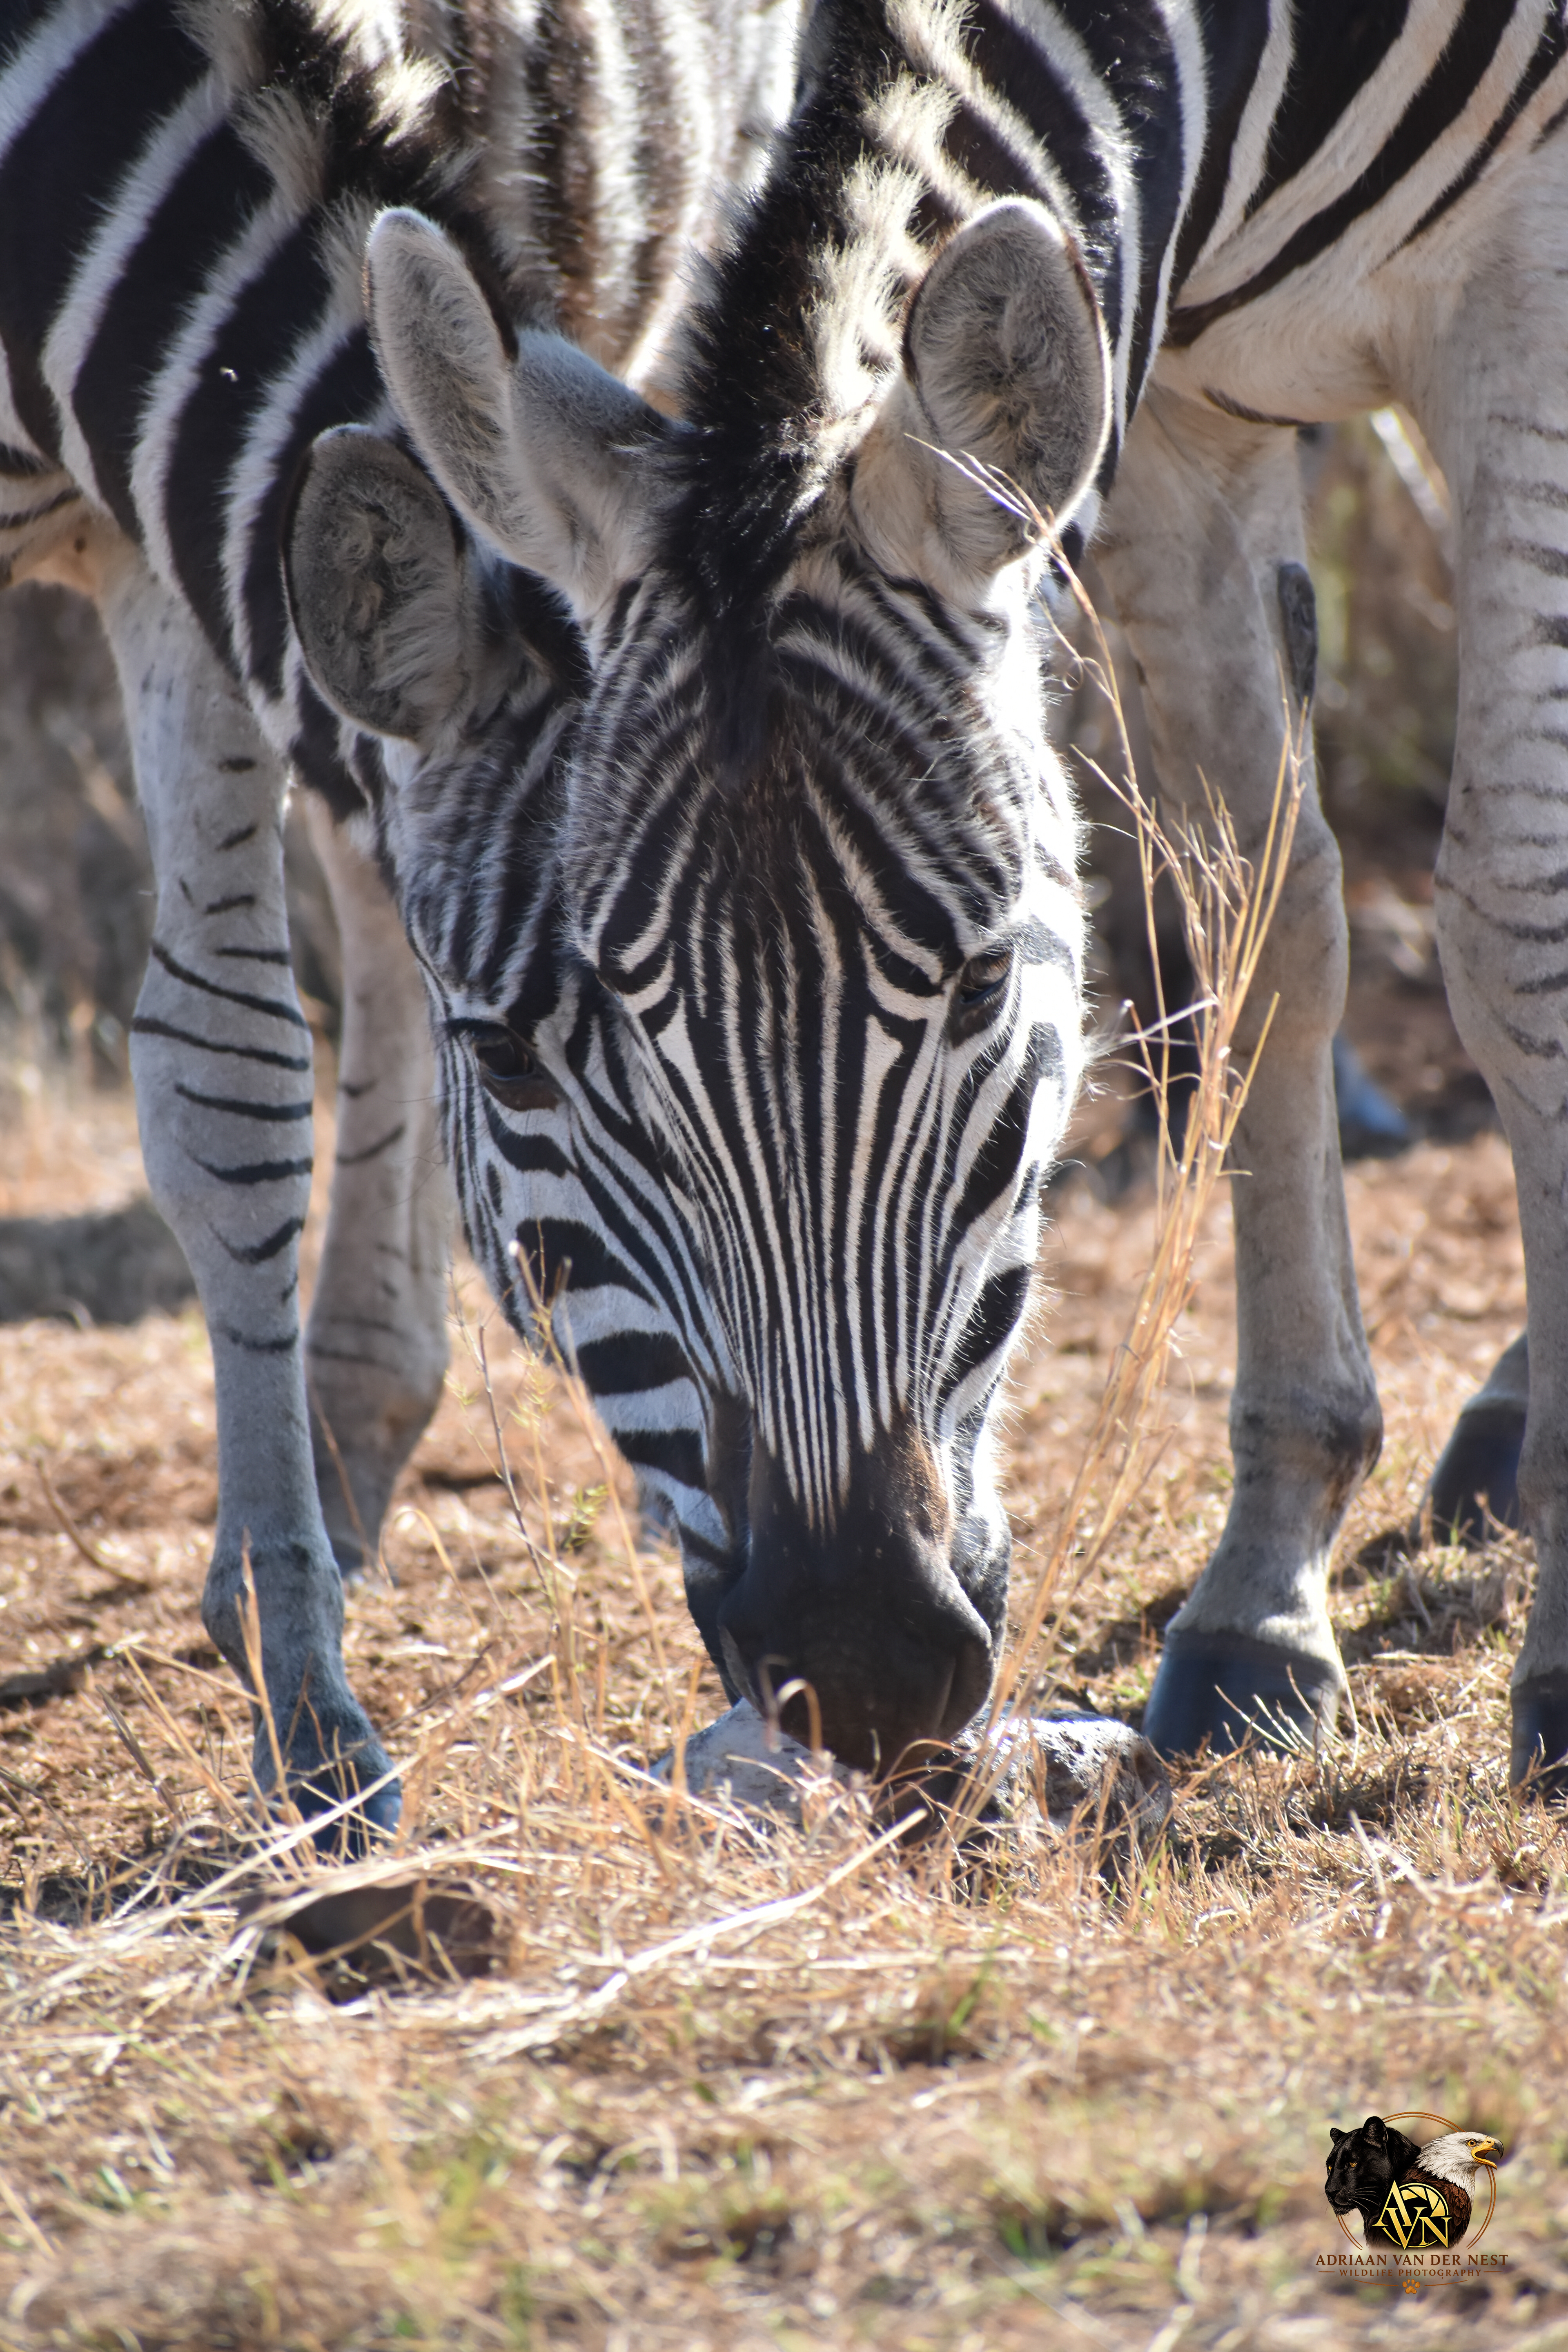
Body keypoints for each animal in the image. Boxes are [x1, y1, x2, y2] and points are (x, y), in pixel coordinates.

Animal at [0, 0, 801, 1831]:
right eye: (517, 1064)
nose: (838, 1653)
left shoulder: (171, 515)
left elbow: (230, 1072)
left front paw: (305, 1698)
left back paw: (343, 1447)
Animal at [286, 0, 1568, 1794]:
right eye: (578, 1042)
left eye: (981, 986)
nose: (856, 1665)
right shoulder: (1162, 385)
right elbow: (1257, 924)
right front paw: (1265, 1595)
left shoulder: (1524, 271)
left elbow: (1517, 921)